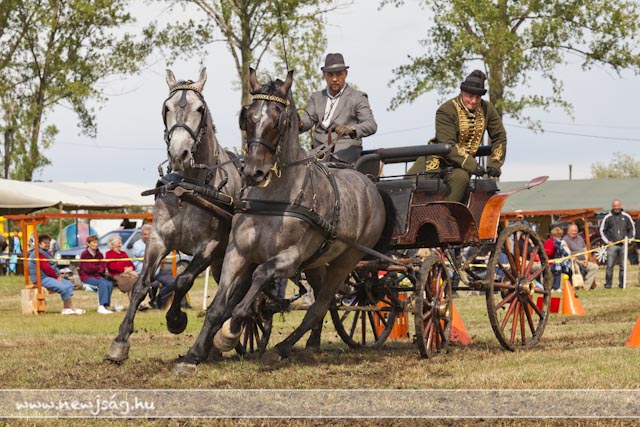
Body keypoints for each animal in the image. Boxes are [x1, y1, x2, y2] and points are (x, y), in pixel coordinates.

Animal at [105, 68, 243, 363]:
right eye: (165, 108)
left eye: (200, 108)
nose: (179, 154)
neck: (187, 188)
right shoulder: (158, 239)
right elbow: (141, 285)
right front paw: (120, 342)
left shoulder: (209, 247)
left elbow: (183, 280)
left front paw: (175, 319)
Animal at [174, 68, 392, 370]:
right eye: (247, 117)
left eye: (280, 120)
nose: (253, 172)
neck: (273, 199)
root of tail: (369, 183)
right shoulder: (237, 252)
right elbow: (218, 306)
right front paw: (194, 355)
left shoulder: (290, 258)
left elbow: (258, 278)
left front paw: (230, 333)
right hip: (317, 263)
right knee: (320, 300)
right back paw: (310, 345)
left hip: (346, 260)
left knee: (320, 305)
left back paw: (280, 349)